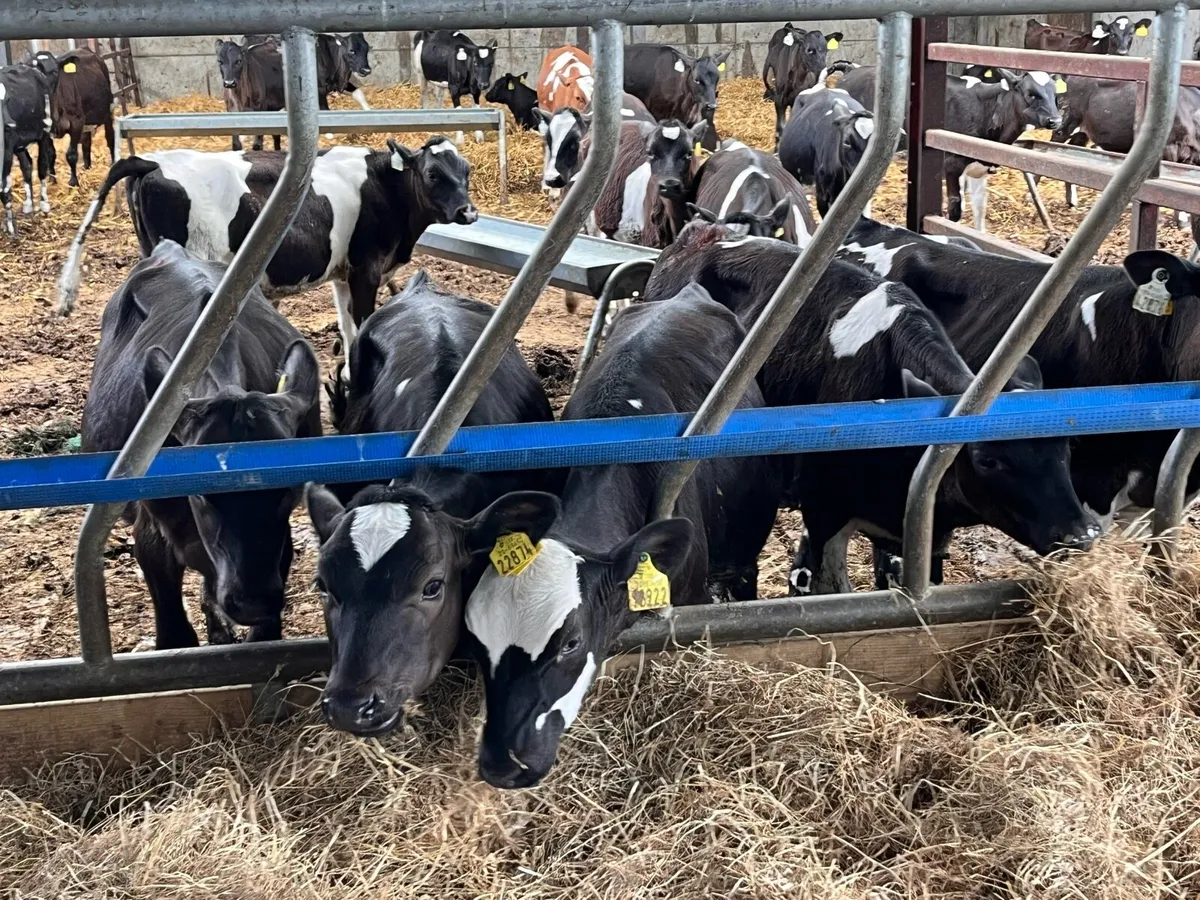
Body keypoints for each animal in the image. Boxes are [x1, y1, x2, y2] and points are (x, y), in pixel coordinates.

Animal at [0, 59, 55, 237]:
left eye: (7, 100)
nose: (9, 124)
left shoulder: (6, 152)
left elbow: (4, 188)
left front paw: (11, 228)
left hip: (45, 130)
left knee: (42, 166)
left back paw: (44, 204)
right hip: (19, 144)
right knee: (27, 165)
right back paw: (29, 204)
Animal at [57, 138, 478, 379]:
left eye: (467, 171)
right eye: (433, 174)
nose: (468, 212)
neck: (383, 185)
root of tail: (153, 162)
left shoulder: (344, 273)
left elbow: (346, 328)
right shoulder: (366, 270)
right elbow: (360, 325)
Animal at [839, 65, 1061, 230]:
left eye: (1055, 95)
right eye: (1031, 94)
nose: (1055, 120)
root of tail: (853, 72)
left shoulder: (978, 169)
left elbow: (980, 210)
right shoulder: (952, 165)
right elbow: (954, 211)